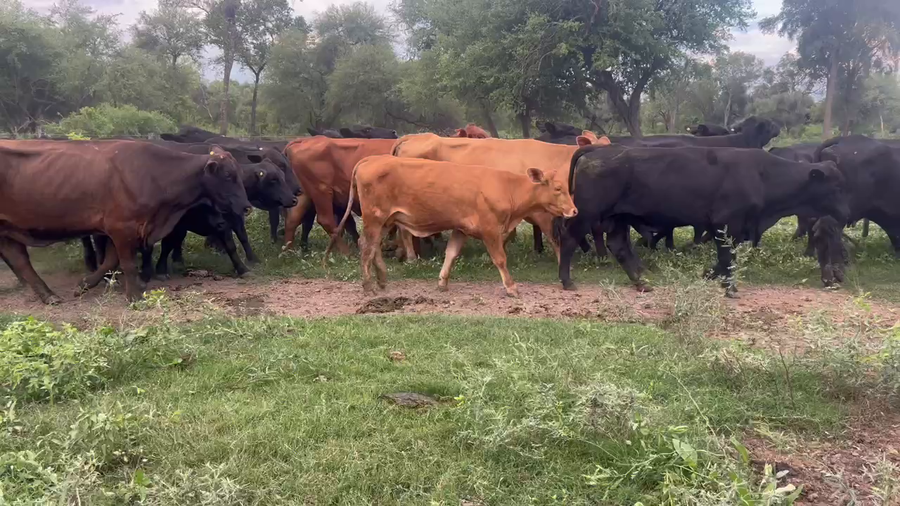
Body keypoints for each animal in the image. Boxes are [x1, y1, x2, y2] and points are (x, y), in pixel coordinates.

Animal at [0, 140, 251, 303]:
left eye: (241, 173)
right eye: (228, 175)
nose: (246, 207)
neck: (154, 175)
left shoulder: (125, 231)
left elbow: (110, 261)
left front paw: (84, 285)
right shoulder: (121, 228)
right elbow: (127, 263)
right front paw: (134, 295)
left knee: (20, 261)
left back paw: (48, 295)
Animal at [325, 155, 577, 296]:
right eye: (557, 188)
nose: (574, 211)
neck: (507, 187)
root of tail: (371, 159)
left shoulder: (460, 229)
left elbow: (451, 254)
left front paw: (442, 282)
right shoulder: (490, 230)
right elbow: (500, 259)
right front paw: (511, 287)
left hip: (385, 220)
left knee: (373, 246)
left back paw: (382, 279)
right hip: (375, 218)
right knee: (366, 246)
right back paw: (368, 285)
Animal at [555, 145, 848, 296]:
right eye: (835, 187)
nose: (846, 213)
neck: (762, 174)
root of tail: (596, 150)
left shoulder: (736, 228)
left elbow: (724, 259)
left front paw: (709, 275)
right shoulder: (725, 223)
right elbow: (727, 257)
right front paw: (729, 287)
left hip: (619, 217)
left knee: (619, 246)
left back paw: (641, 282)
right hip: (587, 213)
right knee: (569, 240)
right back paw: (567, 281)